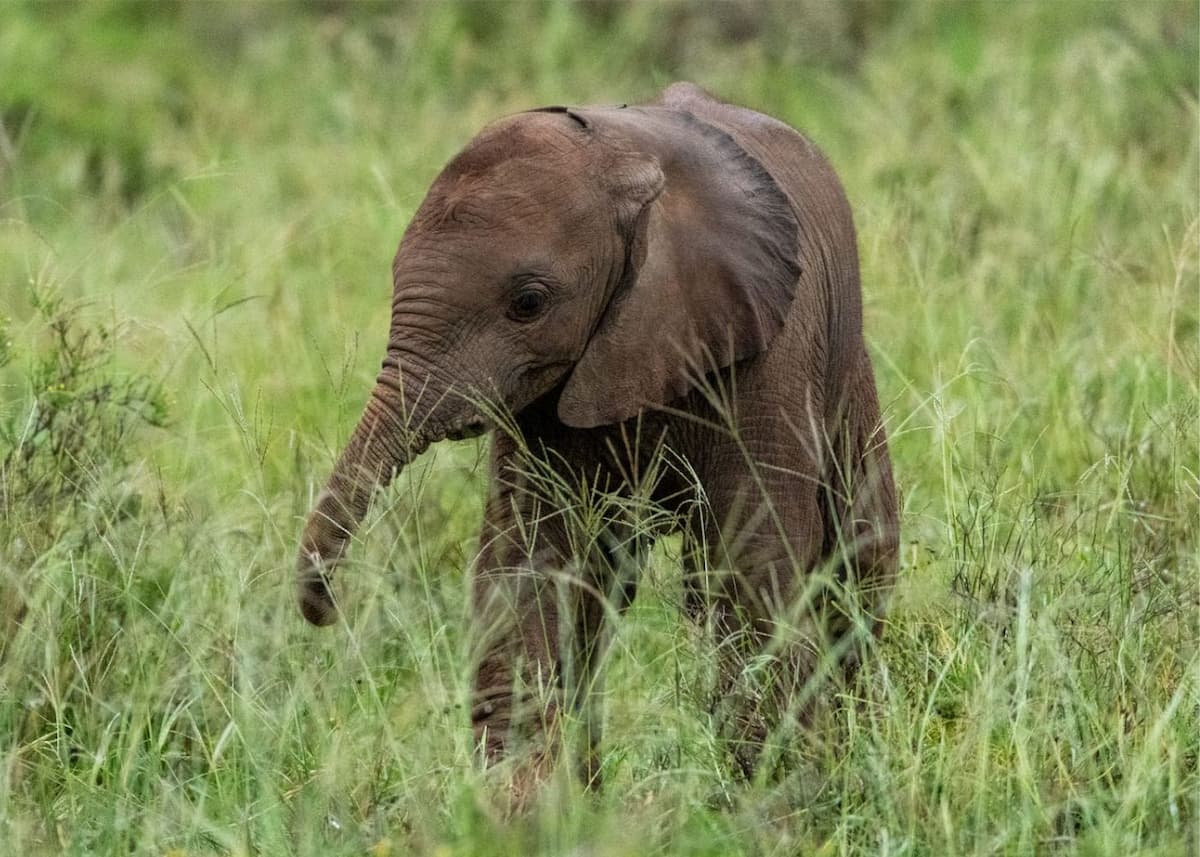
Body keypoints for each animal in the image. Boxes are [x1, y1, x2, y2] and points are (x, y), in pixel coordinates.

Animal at [295, 82, 898, 791]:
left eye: (528, 303)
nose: (326, 607)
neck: (630, 167)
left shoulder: (768, 353)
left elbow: (752, 561)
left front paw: (761, 792)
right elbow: (534, 566)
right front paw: (529, 803)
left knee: (860, 559)